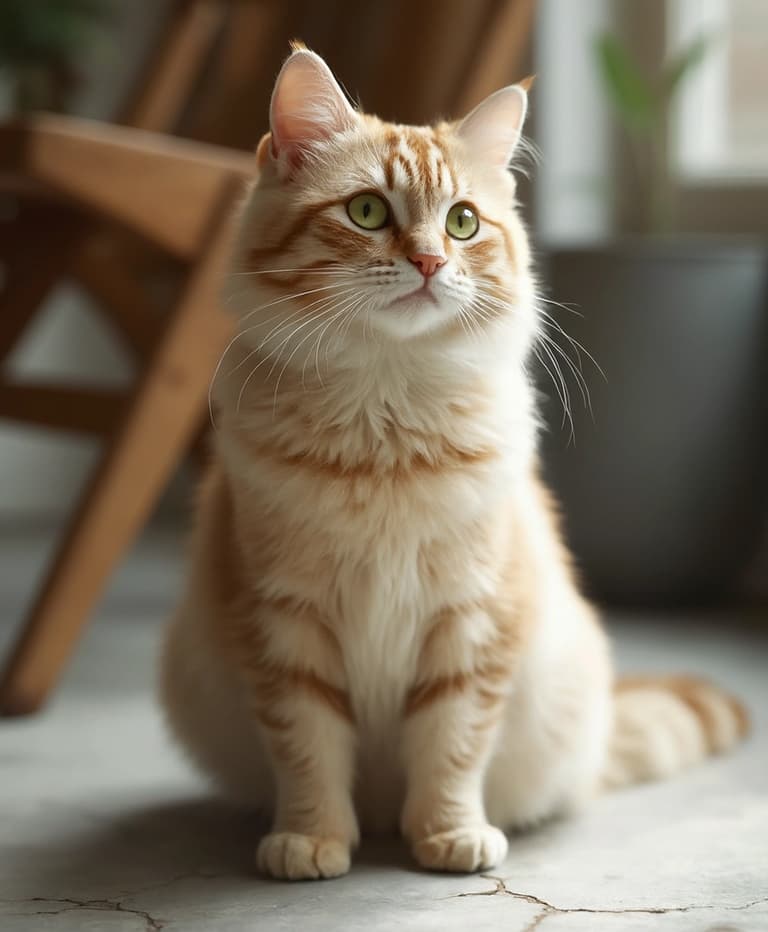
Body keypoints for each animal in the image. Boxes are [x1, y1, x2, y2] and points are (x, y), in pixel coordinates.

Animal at [158, 43, 752, 880]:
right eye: (368, 212)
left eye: (463, 222)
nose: (432, 262)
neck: (382, 430)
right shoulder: (282, 623)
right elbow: (308, 750)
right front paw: (311, 839)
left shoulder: (473, 622)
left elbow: (452, 746)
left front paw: (449, 836)